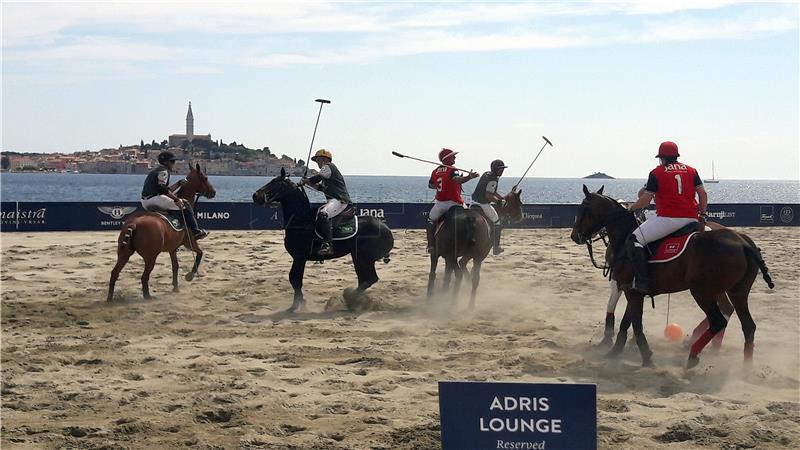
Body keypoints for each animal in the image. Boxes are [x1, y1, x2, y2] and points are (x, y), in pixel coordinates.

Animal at [109, 163, 217, 302]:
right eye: (205, 177)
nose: (213, 192)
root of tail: (134, 224)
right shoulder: (190, 242)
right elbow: (200, 254)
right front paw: (190, 275)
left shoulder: (173, 248)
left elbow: (175, 266)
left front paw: (175, 287)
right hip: (150, 257)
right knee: (144, 277)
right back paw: (147, 297)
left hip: (124, 254)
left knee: (114, 273)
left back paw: (109, 299)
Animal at [253, 167, 394, 312]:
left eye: (275, 183)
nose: (255, 195)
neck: (302, 220)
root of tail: (385, 228)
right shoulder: (299, 258)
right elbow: (295, 280)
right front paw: (299, 302)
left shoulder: (299, 257)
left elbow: (295, 280)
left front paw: (296, 305)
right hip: (358, 256)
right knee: (365, 279)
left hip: (363, 257)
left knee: (369, 278)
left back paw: (350, 298)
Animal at [572, 185, 772, 368]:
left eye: (583, 209)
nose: (575, 236)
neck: (624, 237)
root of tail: (743, 242)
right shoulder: (634, 290)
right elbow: (627, 322)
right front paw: (615, 351)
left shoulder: (629, 288)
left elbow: (634, 323)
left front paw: (644, 356)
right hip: (737, 291)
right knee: (747, 325)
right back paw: (744, 369)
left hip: (702, 291)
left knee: (719, 320)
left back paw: (692, 354)